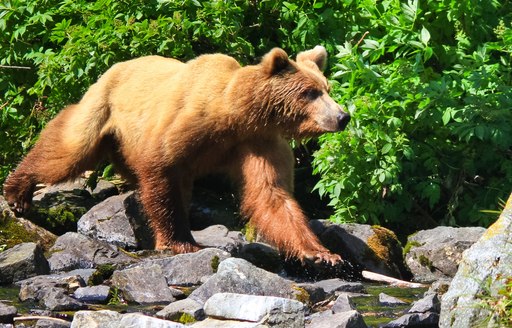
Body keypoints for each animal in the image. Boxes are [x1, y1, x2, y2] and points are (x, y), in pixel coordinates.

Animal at [3, 46, 348, 266]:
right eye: (310, 92)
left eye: (326, 88)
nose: (342, 116)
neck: (237, 114)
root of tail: (118, 65)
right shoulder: (186, 123)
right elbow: (160, 171)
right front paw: (178, 240)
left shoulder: (259, 142)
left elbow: (272, 194)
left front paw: (321, 253)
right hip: (104, 106)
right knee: (71, 149)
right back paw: (17, 191)